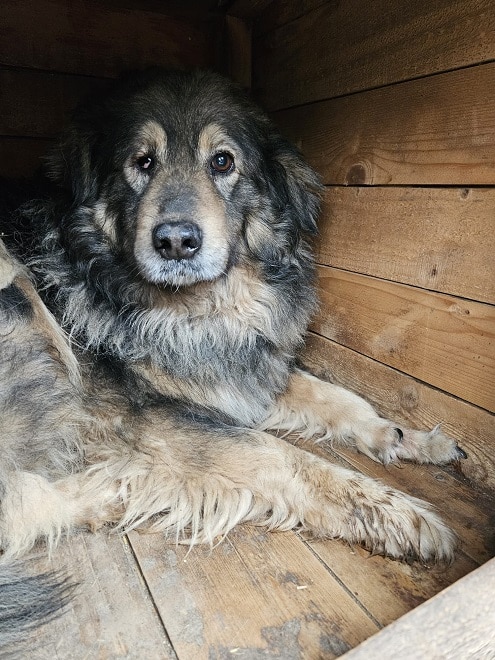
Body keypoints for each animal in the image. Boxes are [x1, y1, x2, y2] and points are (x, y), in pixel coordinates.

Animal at [0, 68, 467, 644]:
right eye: (143, 162)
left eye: (222, 162)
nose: (176, 241)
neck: (199, 309)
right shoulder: (148, 419)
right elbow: (275, 453)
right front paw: (396, 514)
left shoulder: (240, 369)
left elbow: (339, 398)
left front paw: (405, 438)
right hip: (18, 298)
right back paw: (102, 493)